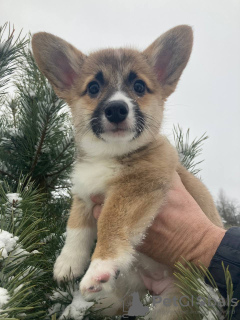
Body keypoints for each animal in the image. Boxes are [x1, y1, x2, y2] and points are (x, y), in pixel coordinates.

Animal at [32, 26, 223, 318]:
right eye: (94, 88)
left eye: (139, 87)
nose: (116, 109)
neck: (109, 154)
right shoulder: (83, 192)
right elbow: (76, 226)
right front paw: (67, 262)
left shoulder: (137, 185)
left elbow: (110, 222)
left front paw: (99, 267)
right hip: (118, 296)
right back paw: (75, 309)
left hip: (171, 306)